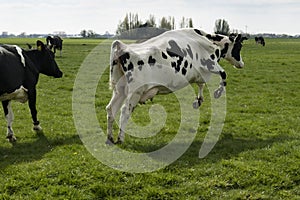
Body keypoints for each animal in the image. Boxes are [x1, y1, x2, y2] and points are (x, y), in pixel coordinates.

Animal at [105, 27, 246, 144]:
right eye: (239, 47)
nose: (242, 64)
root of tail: (122, 46)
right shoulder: (209, 64)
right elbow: (224, 74)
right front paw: (217, 93)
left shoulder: (200, 73)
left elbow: (201, 84)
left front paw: (198, 100)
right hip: (135, 92)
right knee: (125, 111)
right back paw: (120, 138)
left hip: (119, 90)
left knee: (110, 109)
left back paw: (110, 138)